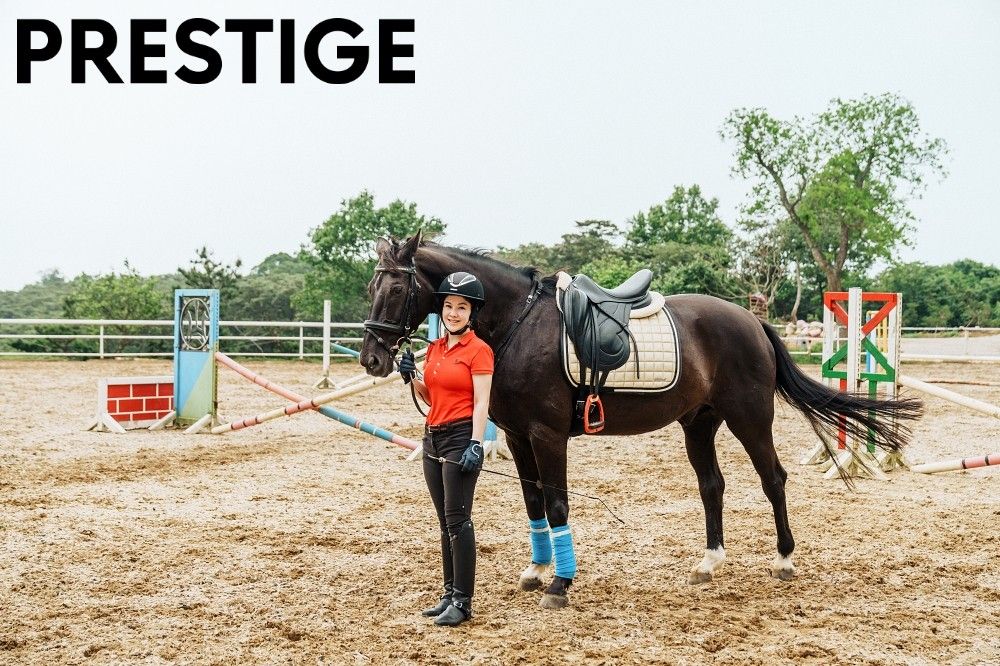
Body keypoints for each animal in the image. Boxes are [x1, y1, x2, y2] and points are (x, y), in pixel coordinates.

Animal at [360, 233, 922, 609]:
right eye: (371, 286)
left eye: (396, 288)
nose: (372, 358)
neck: (517, 321)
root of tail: (750, 319)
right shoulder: (518, 437)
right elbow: (534, 502)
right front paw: (537, 569)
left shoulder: (546, 435)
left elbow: (558, 503)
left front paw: (561, 584)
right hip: (699, 424)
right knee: (712, 485)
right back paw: (709, 562)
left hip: (749, 418)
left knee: (773, 479)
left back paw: (784, 560)